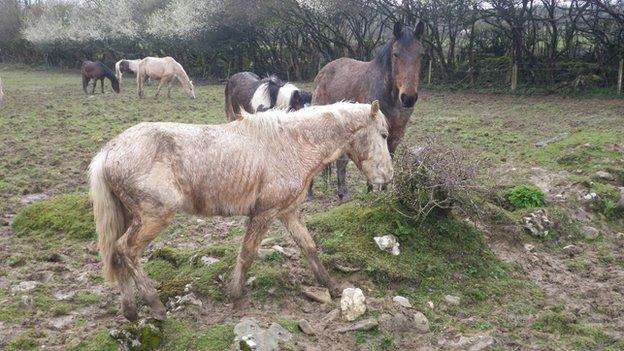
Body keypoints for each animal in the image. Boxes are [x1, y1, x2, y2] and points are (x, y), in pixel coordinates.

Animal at [90, 101, 392, 322]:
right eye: (384, 135)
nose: (387, 178)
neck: (293, 144)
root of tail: (109, 151)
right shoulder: (264, 214)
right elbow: (247, 253)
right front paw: (235, 294)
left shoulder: (288, 213)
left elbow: (309, 247)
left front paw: (332, 287)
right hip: (154, 217)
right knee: (126, 250)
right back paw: (156, 307)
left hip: (131, 217)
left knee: (117, 254)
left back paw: (130, 311)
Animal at [310, 22, 424, 201]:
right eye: (396, 54)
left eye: (421, 54)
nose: (408, 98)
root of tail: (324, 70)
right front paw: (370, 193)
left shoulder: (395, 135)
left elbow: (388, 158)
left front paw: (384, 193)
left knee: (340, 161)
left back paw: (341, 193)